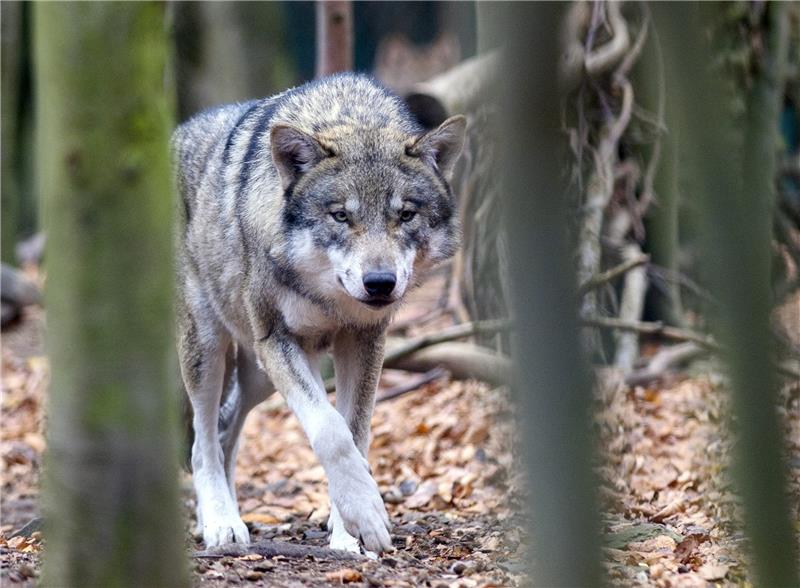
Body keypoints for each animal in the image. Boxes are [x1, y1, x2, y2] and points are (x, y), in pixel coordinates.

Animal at [172, 73, 465, 554]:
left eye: (405, 214)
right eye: (341, 216)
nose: (380, 283)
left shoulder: (364, 341)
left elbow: (355, 433)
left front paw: (350, 532)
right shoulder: (277, 340)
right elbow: (330, 430)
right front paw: (366, 516)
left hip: (258, 376)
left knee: (226, 429)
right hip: (211, 349)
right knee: (203, 441)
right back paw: (220, 523)